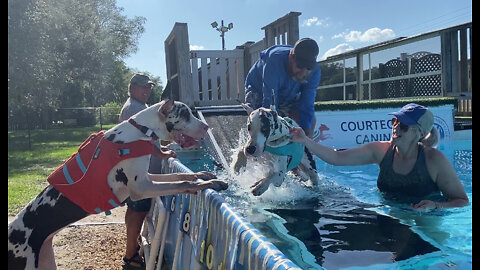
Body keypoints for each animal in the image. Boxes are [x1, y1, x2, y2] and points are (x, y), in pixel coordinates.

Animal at [7, 94, 229, 268]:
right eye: (185, 115)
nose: (206, 126)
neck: (140, 131)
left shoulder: (147, 178)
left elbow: (180, 176)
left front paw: (204, 175)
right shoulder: (142, 188)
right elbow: (182, 184)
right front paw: (207, 184)